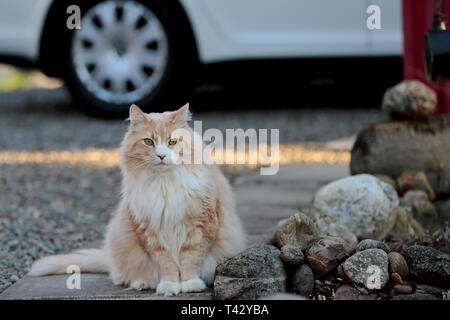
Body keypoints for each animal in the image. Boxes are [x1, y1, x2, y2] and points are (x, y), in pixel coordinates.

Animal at [29, 104, 246, 296]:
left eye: (172, 142)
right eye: (148, 142)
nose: (161, 155)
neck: (164, 184)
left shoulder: (200, 226)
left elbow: (190, 259)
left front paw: (190, 284)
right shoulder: (150, 233)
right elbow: (166, 264)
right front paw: (169, 286)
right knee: (123, 275)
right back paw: (140, 283)